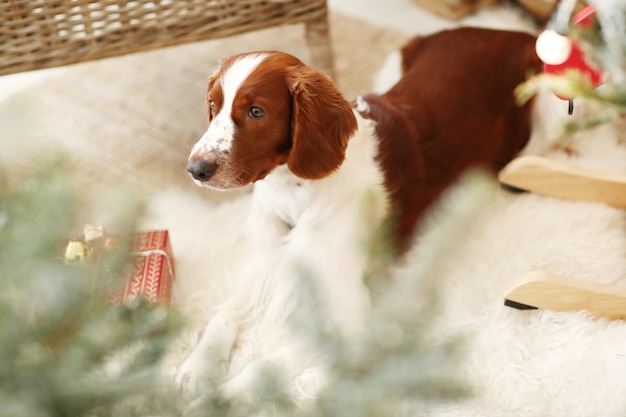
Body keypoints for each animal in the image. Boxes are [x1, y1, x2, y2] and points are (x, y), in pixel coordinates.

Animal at [173, 26, 540, 404]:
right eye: (213, 104)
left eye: (257, 111)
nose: (195, 169)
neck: (297, 194)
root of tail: (509, 31)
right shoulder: (263, 260)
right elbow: (224, 314)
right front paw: (197, 368)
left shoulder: (350, 322)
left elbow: (265, 367)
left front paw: (217, 401)